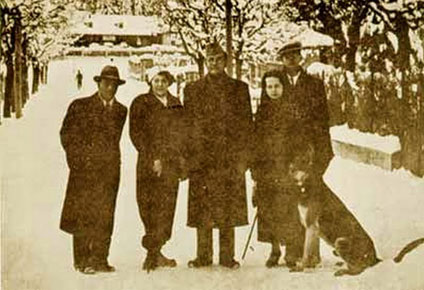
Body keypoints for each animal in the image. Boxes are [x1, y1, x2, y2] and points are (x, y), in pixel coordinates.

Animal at [288, 144, 380, 276]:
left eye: (299, 166)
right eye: (291, 168)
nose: (288, 173)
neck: (308, 186)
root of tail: (374, 256)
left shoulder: (311, 227)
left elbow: (306, 253)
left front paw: (301, 267)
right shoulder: (314, 230)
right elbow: (314, 253)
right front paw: (311, 265)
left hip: (340, 241)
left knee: (359, 269)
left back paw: (343, 271)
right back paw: (341, 264)